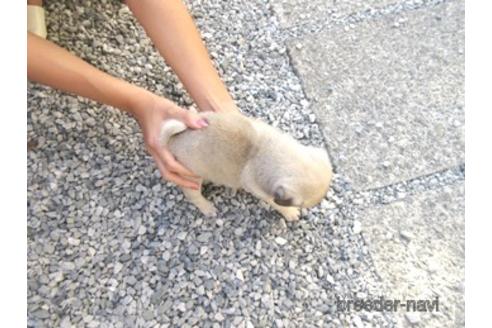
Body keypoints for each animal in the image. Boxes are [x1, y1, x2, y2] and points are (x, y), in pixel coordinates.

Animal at [161, 111, 334, 222]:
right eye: (299, 205)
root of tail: (172, 139)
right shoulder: (262, 191)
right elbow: (274, 203)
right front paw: (289, 212)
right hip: (191, 177)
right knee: (193, 196)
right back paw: (207, 207)